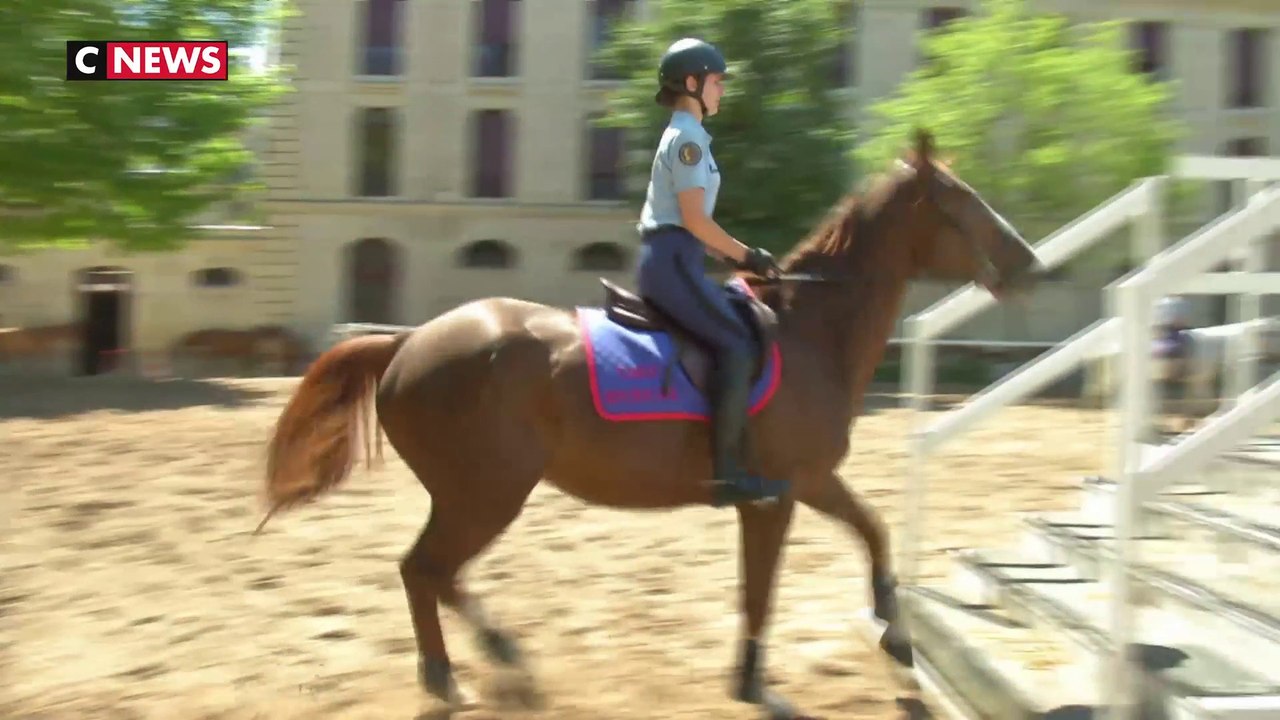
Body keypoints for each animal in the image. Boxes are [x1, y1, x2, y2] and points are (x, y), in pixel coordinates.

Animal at [257, 129, 1044, 719]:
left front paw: (894, 632)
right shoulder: (778, 495)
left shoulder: (807, 482)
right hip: (486, 493)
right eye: (961, 202)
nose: (1030, 263)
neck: (809, 331)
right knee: (425, 569)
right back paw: (471, 669)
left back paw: (482, 664)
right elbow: (764, 588)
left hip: (472, 494)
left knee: (430, 572)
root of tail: (408, 342)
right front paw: (757, 683)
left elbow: (870, 530)